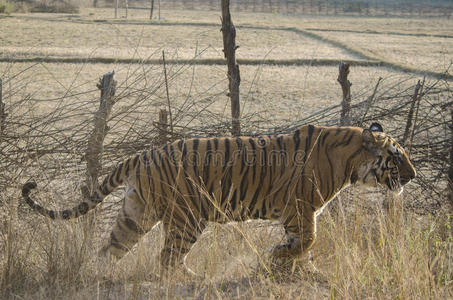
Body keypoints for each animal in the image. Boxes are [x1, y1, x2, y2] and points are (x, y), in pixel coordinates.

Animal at [23, 123, 414, 274]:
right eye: (396, 156)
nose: (412, 176)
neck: (351, 161)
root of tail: (142, 156)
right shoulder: (301, 210)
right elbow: (307, 241)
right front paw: (278, 257)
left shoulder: (297, 215)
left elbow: (303, 245)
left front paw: (289, 266)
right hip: (186, 217)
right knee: (166, 260)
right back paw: (192, 280)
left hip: (136, 215)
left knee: (111, 251)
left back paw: (98, 278)